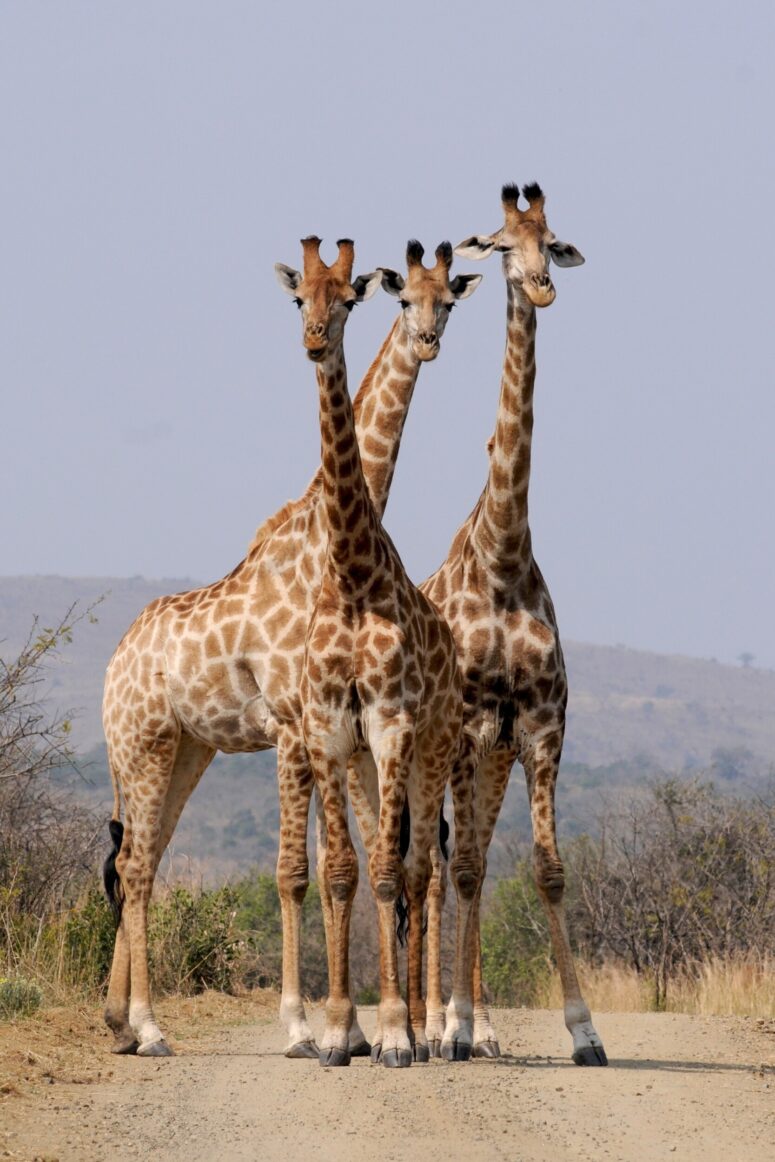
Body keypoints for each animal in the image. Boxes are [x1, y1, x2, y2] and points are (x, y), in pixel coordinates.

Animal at [101, 236, 480, 1058]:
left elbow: (354, 862)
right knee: (137, 865)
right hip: (142, 745)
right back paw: (147, 1026)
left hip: (186, 749)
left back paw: (119, 1019)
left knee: (141, 856)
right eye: (299, 298)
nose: (427, 342)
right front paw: (307, 1027)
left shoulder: (335, 730)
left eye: (448, 302)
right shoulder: (291, 723)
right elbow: (294, 872)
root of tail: (113, 665)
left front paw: (360, 1031)